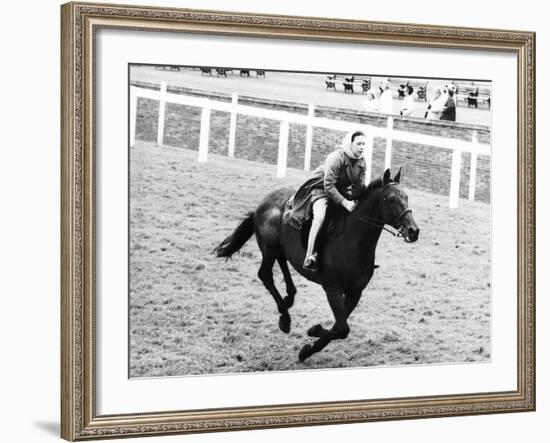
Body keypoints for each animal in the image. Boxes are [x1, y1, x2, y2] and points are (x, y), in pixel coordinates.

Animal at [213, 168, 420, 362]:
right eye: (390, 199)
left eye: (406, 197)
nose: (413, 231)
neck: (353, 239)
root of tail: (262, 204)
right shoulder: (332, 289)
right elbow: (343, 329)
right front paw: (313, 331)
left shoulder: (355, 293)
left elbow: (340, 327)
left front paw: (308, 350)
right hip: (269, 248)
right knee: (265, 275)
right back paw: (285, 318)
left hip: (279, 248)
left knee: (283, 263)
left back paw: (289, 299)